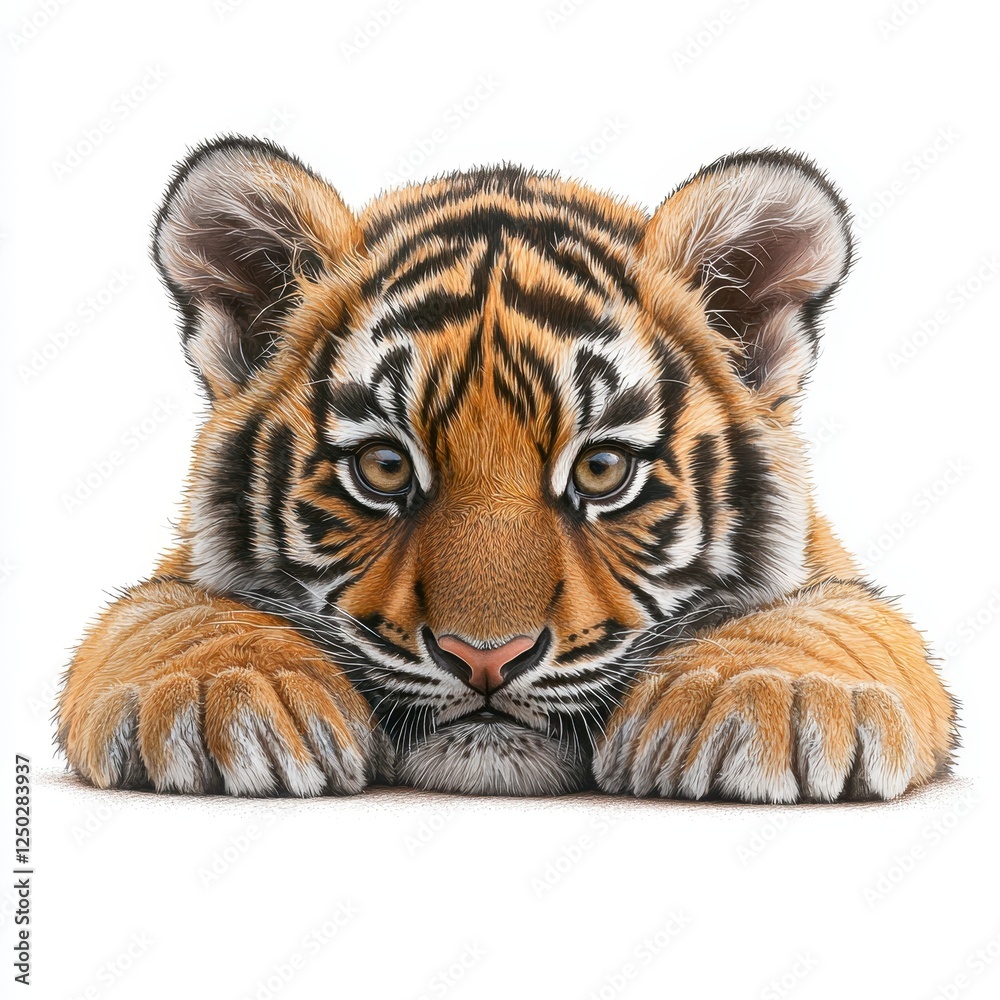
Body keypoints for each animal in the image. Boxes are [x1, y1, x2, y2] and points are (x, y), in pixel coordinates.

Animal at [55, 137, 958, 802]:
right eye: (385, 467)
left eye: (601, 470)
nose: (485, 658)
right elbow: (162, 607)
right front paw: (226, 690)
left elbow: (839, 613)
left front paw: (769, 693)